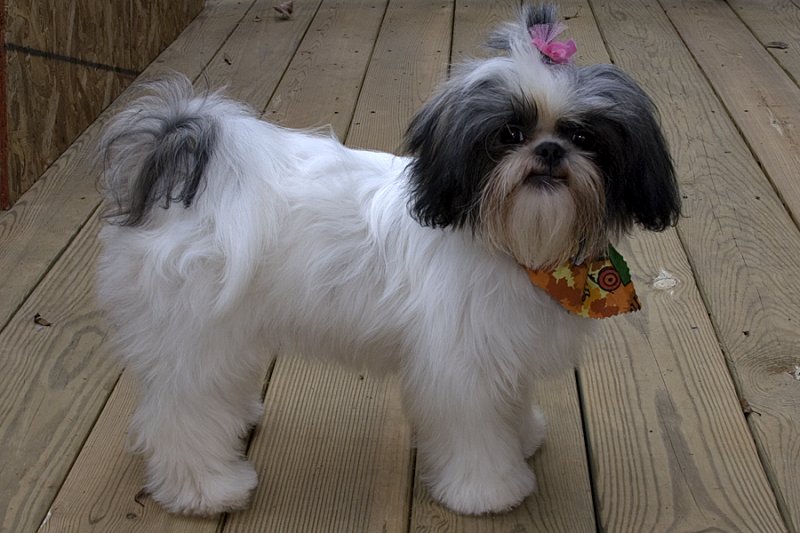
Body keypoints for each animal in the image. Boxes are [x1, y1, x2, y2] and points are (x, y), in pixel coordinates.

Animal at [95, 3, 680, 516]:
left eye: (583, 135)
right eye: (508, 134)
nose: (551, 151)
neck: (519, 248)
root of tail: (182, 165)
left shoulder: (504, 346)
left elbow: (510, 403)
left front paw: (524, 435)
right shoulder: (459, 366)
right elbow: (475, 434)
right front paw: (489, 490)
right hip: (192, 331)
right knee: (180, 415)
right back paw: (207, 489)